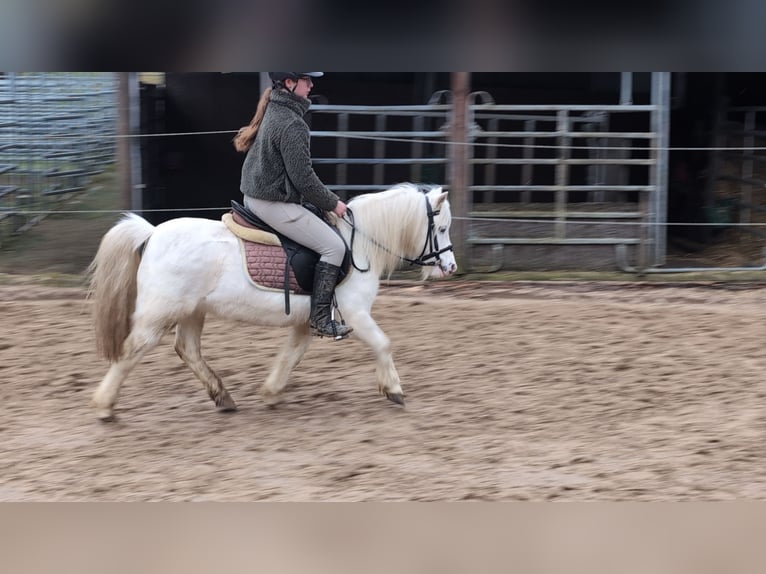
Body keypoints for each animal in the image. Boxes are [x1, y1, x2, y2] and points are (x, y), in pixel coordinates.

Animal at [87, 183, 457, 421]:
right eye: (440, 228)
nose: (451, 267)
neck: (359, 244)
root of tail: (152, 234)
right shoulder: (355, 313)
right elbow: (383, 343)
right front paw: (394, 389)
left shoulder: (310, 321)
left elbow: (291, 355)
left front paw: (271, 391)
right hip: (159, 314)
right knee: (132, 350)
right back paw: (104, 406)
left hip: (192, 311)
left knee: (188, 350)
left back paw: (223, 397)